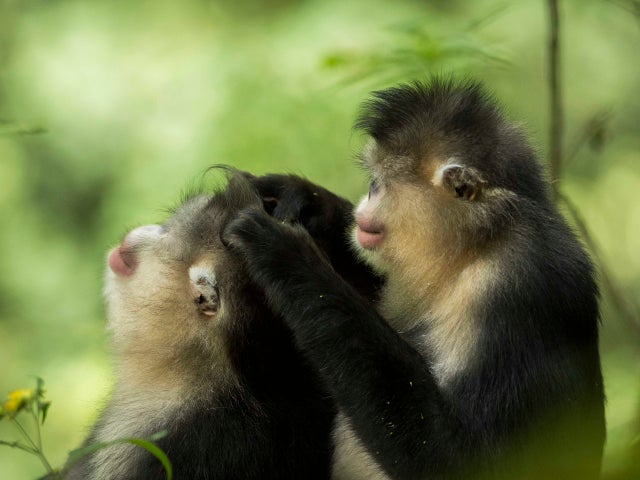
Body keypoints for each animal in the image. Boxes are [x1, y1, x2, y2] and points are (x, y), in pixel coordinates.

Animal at [223, 78, 606, 479]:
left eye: (379, 183)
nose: (368, 194)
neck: (477, 245)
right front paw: (304, 198)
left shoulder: (516, 287)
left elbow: (470, 460)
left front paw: (286, 254)